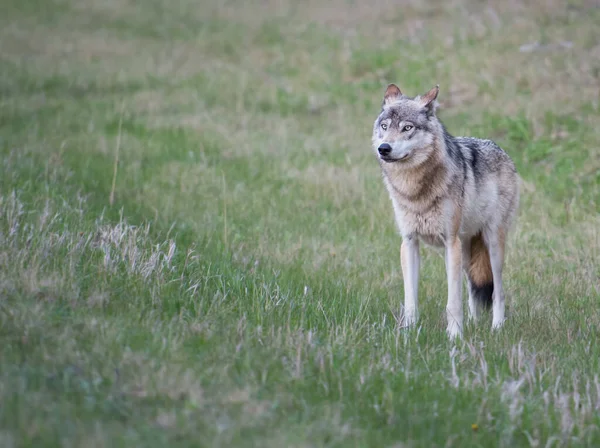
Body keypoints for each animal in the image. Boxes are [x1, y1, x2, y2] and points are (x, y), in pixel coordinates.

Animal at [368, 84, 516, 338]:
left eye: (407, 128)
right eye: (385, 126)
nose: (383, 148)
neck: (414, 190)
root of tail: (501, 150)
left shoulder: (450, 242)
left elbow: (452, 302)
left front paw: (455, 337)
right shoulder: (409, 243)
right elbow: (410, 299)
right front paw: (408, 333)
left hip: (491, 245)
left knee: (498, 292)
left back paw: (496, 328)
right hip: (466, 253)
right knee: (473, 291)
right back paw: (474, 324)